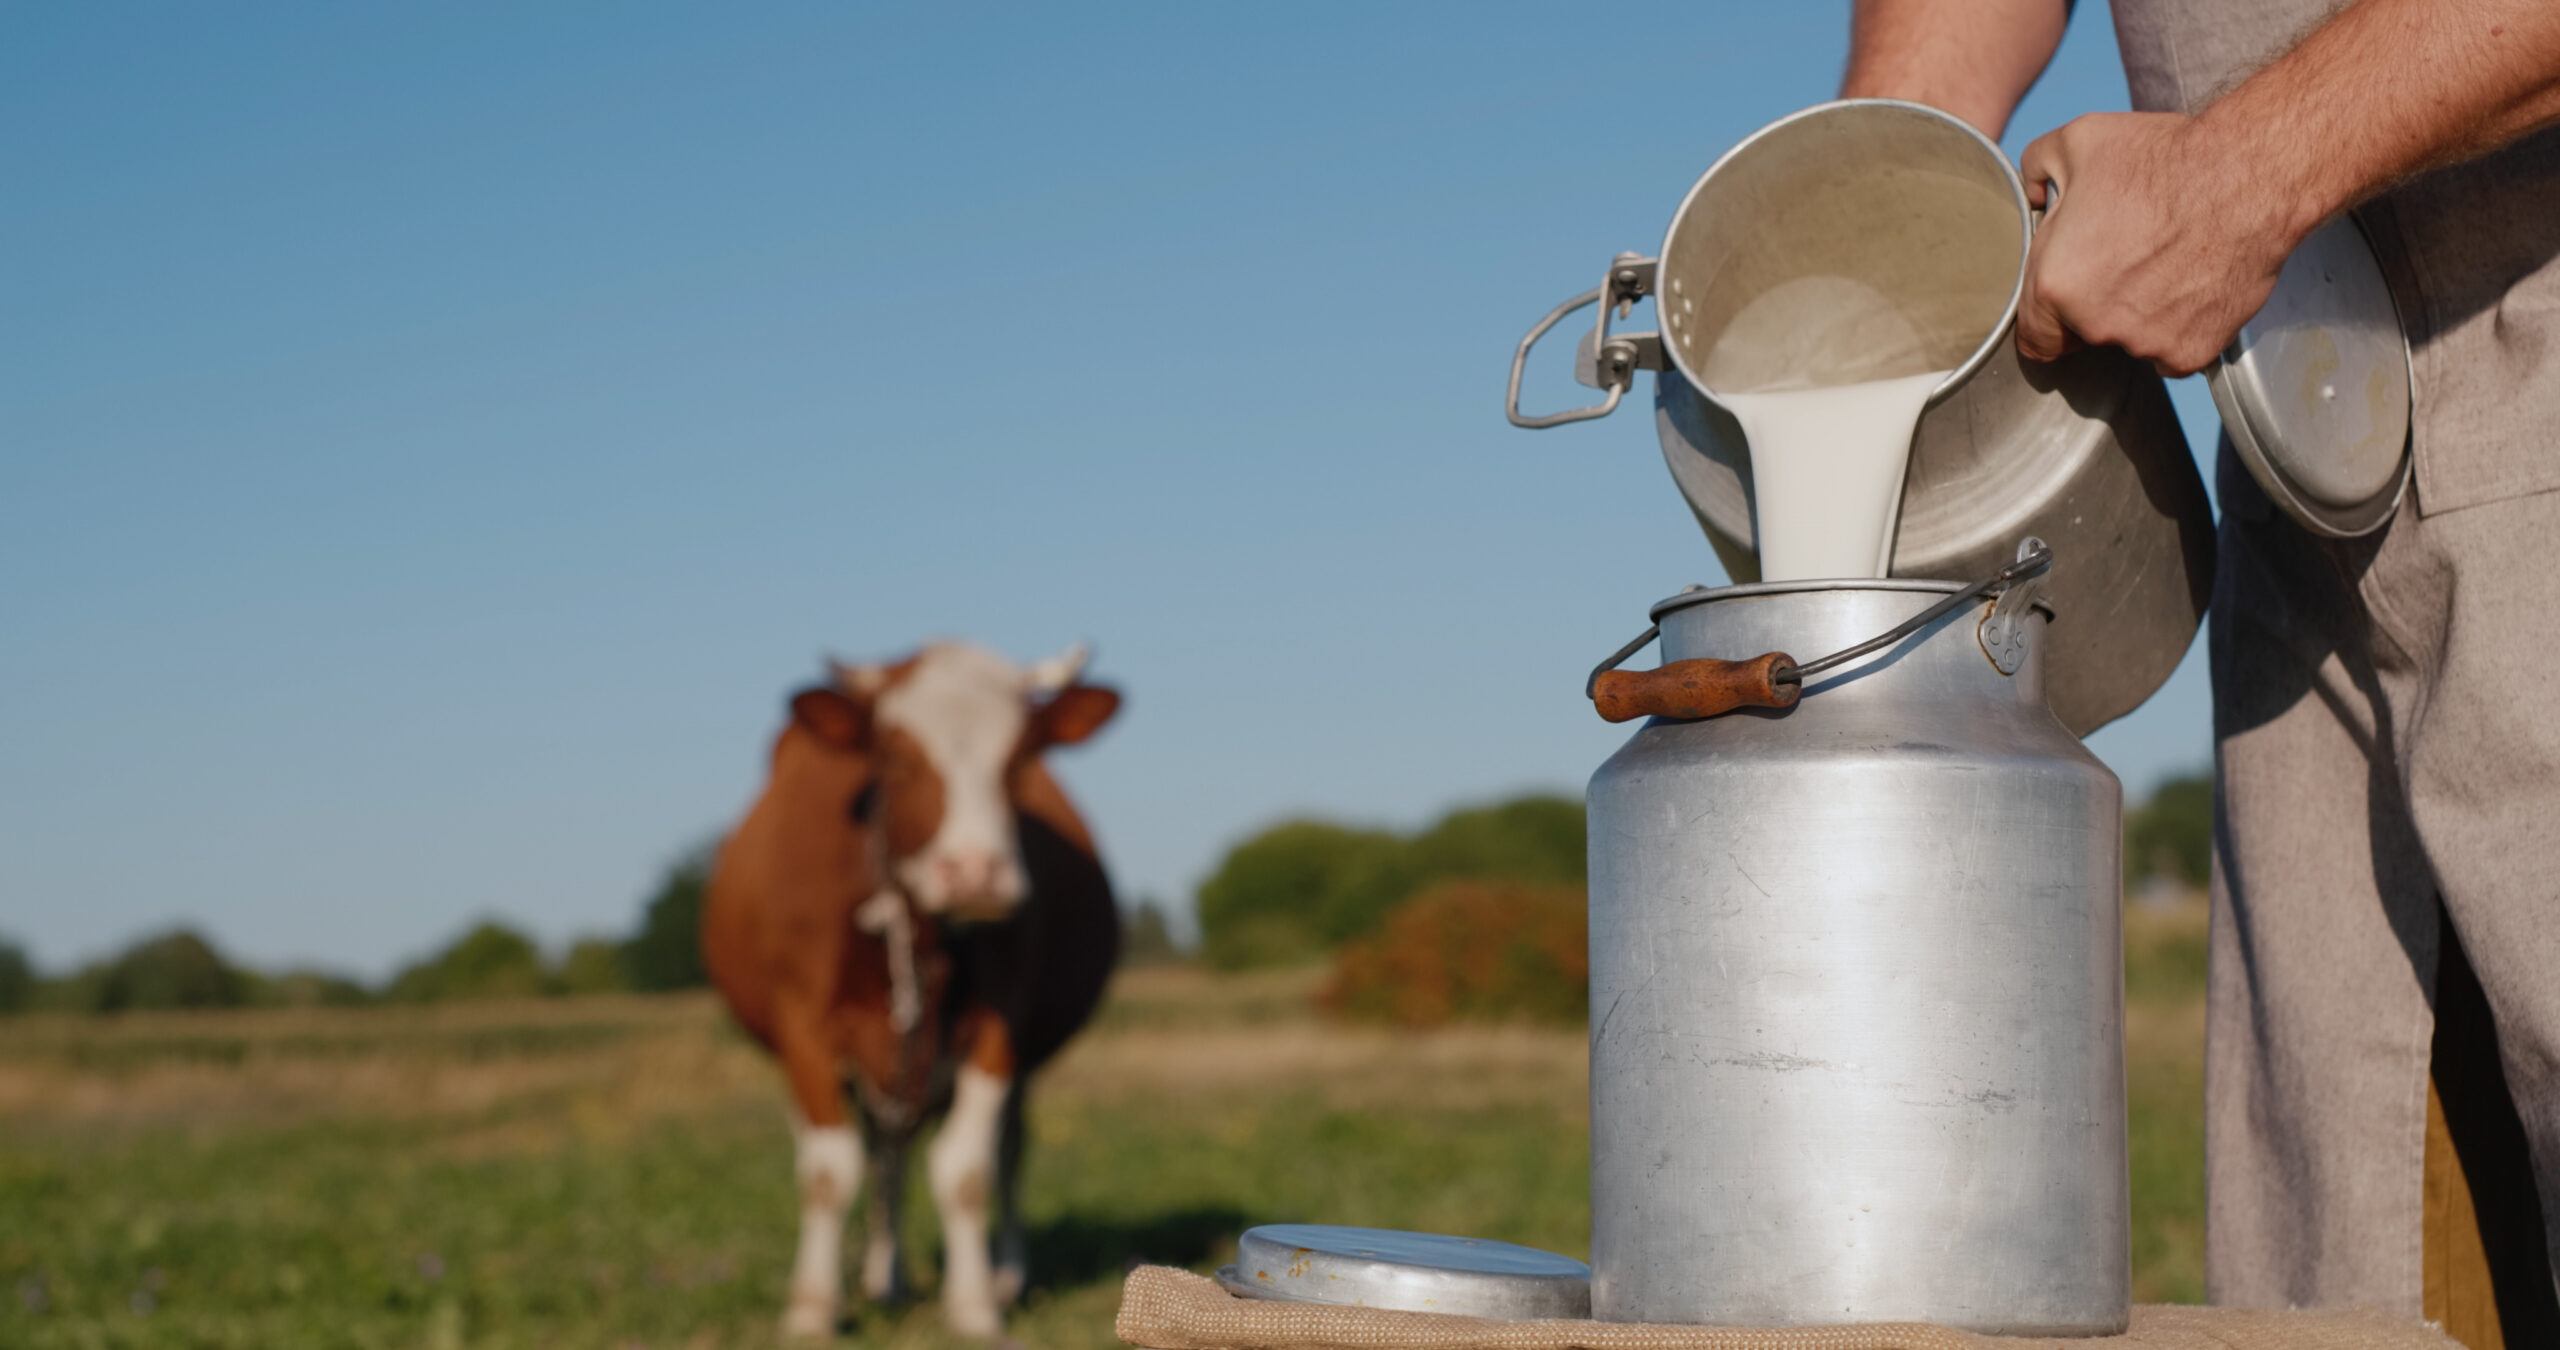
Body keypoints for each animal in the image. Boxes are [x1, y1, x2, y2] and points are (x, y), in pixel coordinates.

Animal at [711, 645, 1131, 1342]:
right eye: (897, 758)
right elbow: (828, 1173)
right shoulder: (804, 1028)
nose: (976, 872)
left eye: (1020, 759)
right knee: (880, 1155)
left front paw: (974, 1305)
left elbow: (966, 1170)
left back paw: (1001, 1274)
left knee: (1002, 1150)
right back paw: (885, 1279)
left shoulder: (1000, 1028)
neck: (916, 924)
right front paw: (812, 1308)